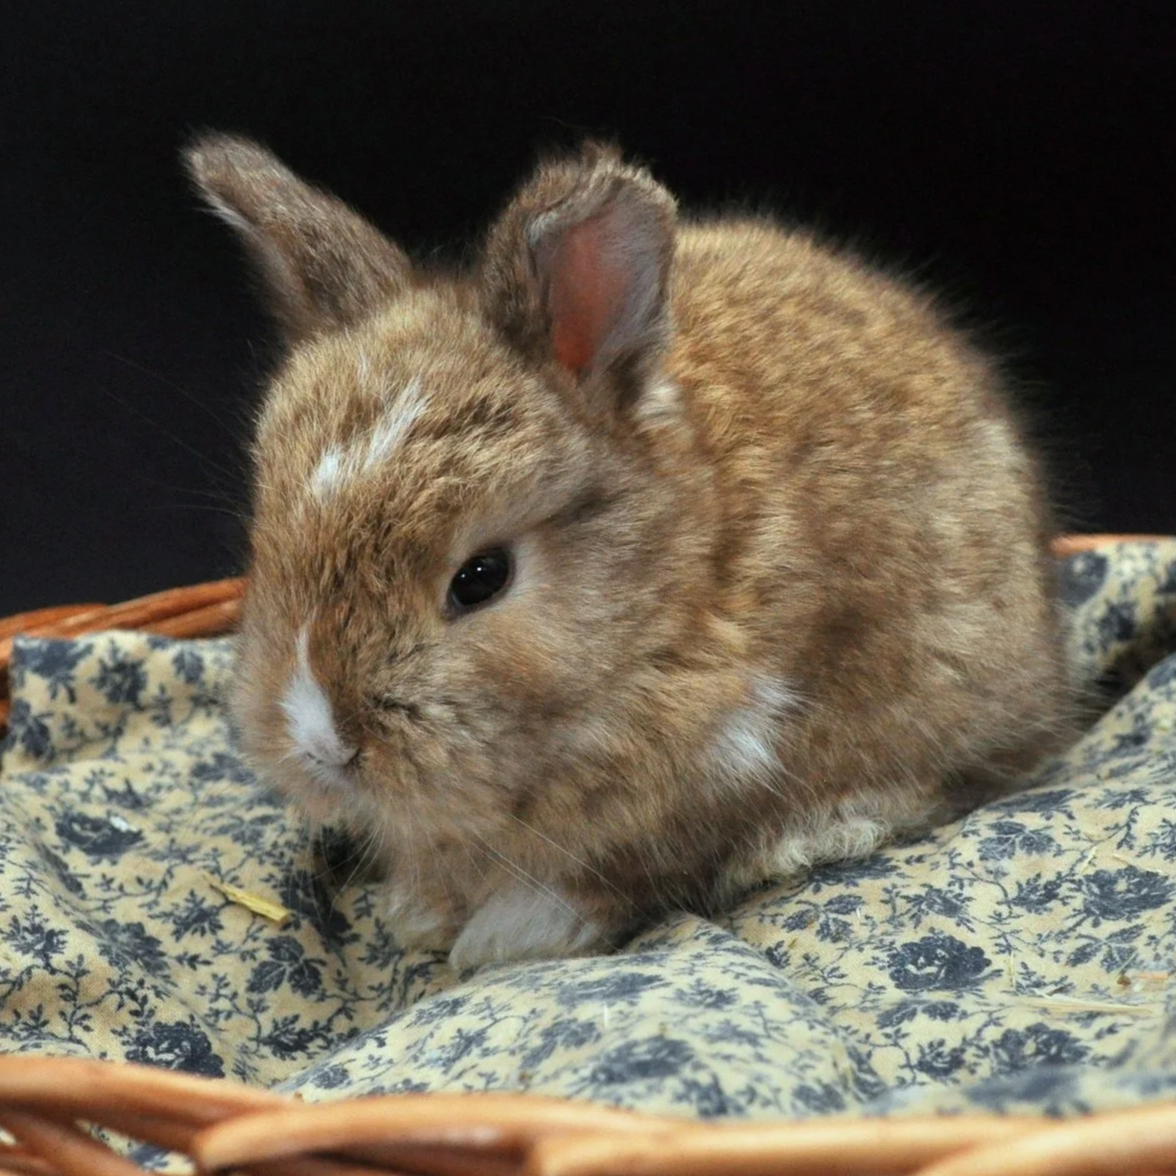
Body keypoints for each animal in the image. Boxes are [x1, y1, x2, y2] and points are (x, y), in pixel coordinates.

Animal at [185, 134, 1073, 969]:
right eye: (267, 546)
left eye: (481, 578)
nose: (320, 744)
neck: (660, 606)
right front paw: (421, 912)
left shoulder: (719, 776)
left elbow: (618, 878)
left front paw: (509, 935)